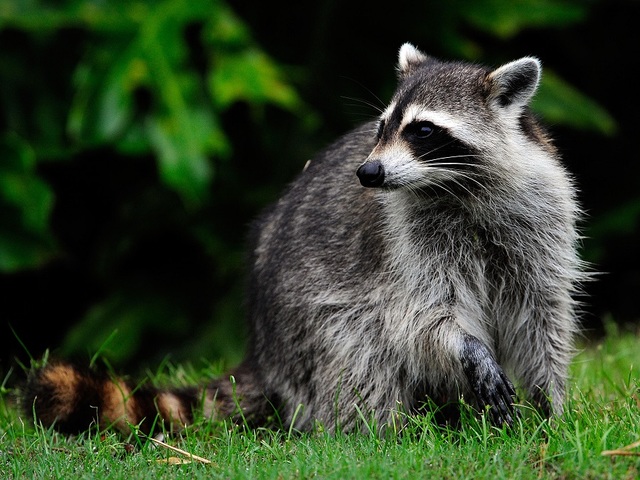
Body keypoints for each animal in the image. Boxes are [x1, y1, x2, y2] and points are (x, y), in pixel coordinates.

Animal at [21, 44, 585, 436]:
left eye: (423, 130)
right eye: (381, 126)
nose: (368, 172)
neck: (456, 186)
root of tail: (262, 349)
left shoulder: (540, 215)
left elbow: (543, 313)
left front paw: (551, 406)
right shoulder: (406, 243)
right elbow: (421, 318)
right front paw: (469, 350)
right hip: (304, 323)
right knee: (358, 350)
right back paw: (383, 433)